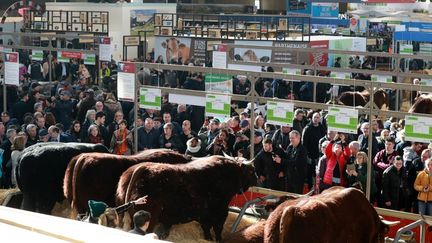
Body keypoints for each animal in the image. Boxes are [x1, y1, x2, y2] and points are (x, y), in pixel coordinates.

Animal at [115, 156, 256, 241]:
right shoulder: (220, 213)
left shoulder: (204, 216)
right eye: (251, 171)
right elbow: (217, 230)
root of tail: (143, 168)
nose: (256, 178)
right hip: (150, 218)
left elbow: (206, 230)